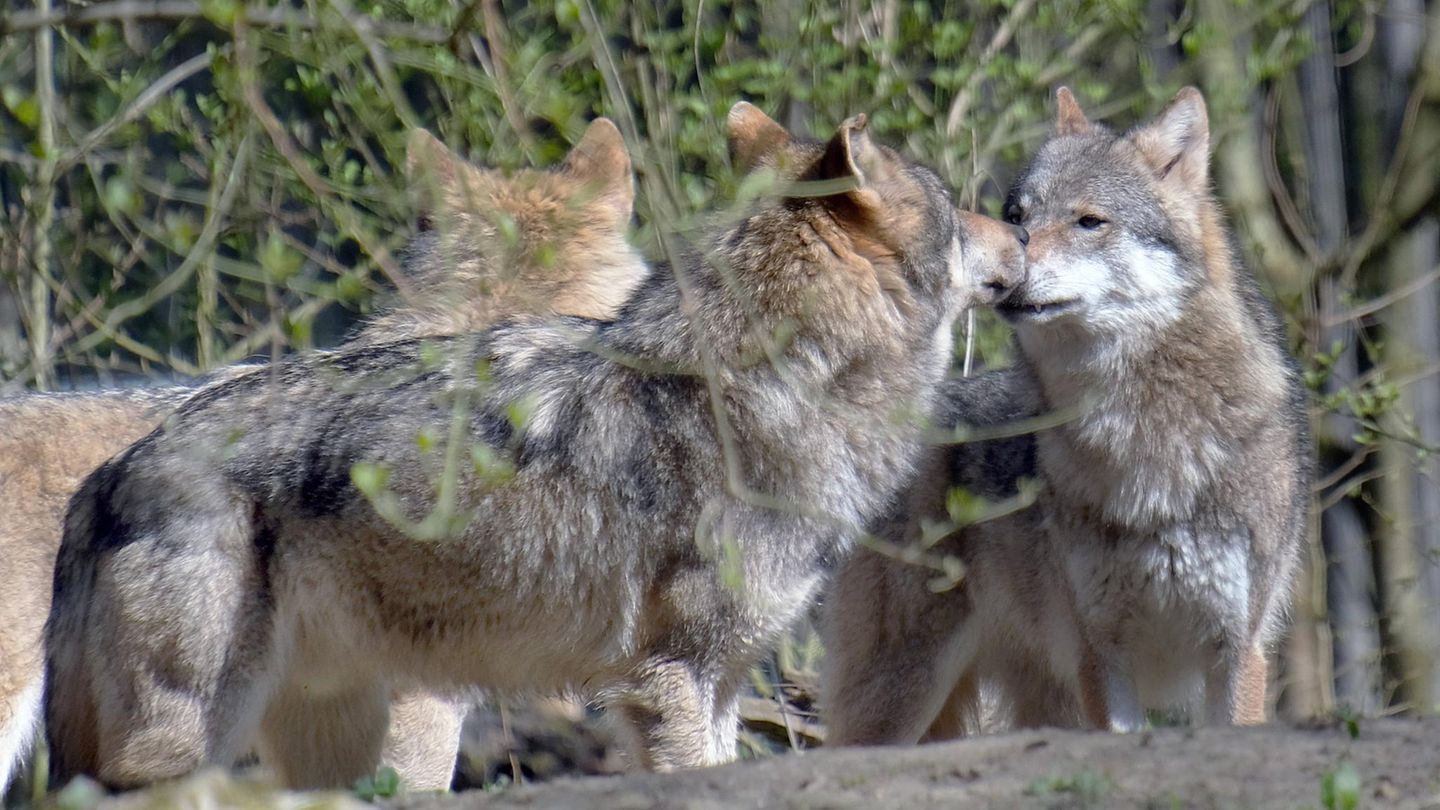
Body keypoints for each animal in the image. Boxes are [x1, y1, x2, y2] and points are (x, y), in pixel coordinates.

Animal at [822, 87, 1311, 744]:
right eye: (1018, 215)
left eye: (1089, 222)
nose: (1010, 262)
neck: (1142, 443)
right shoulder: (1101, 654)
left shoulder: (1238, 651)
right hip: (907, 692)